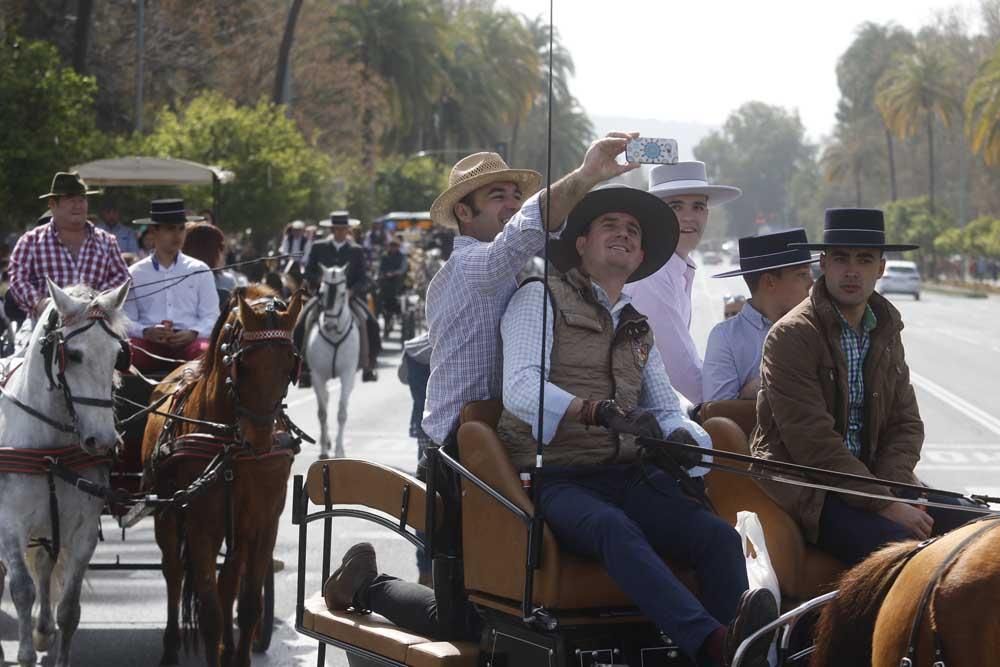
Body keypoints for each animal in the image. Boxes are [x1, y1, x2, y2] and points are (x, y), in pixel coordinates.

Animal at [0, 280, 130, 664]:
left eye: (119, 356)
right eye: (72, 354)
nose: (103, 440)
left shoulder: (83, 530)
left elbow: (69, 607)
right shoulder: (9, 523)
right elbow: (22, 589)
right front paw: (25, 654)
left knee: (45, 564)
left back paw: (44, 631)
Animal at [141, 288, 302, 667]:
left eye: (289, 366)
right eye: (243, 364)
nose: (259, 440)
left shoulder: (264, 523)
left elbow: (248, 604)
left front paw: (237, 653)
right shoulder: (202, 526)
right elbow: (211, 613)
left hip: (238, 531)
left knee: (229, 580)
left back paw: (228, 648)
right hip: (168, 516)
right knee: (173, 572)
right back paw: (171, 648)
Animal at [308, 266, 364, 460]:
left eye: (342, 294)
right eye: (321, 293)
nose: (330, 325)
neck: (333, 335)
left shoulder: (347, 375)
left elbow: (341, 413)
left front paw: (339, 451)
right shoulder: (317, 375)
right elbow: (322, 413)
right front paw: (324, 450)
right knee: (325, 399)